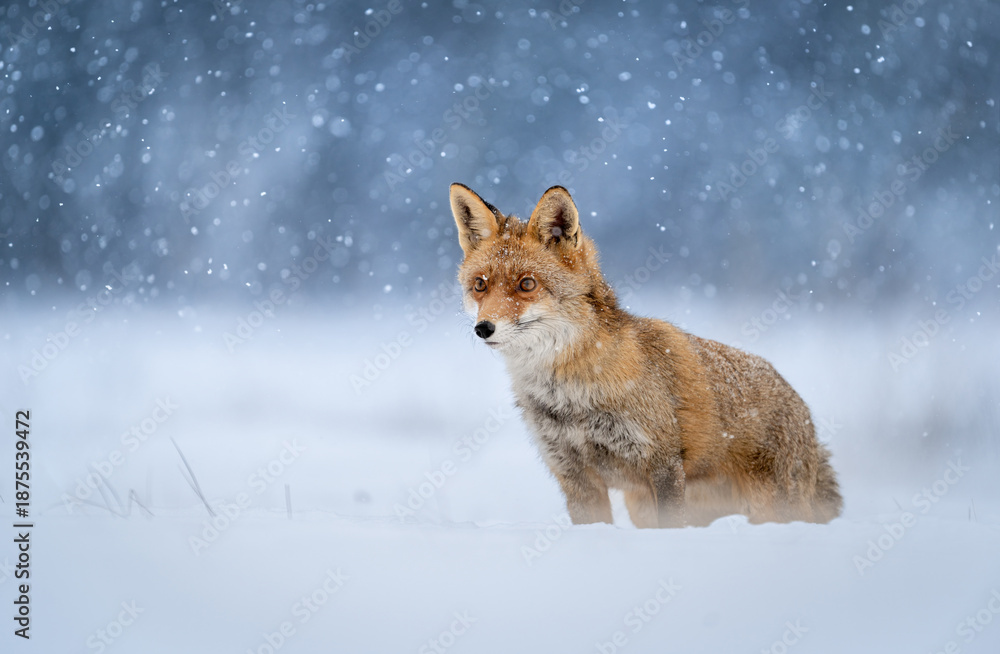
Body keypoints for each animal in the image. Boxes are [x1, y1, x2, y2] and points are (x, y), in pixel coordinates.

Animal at [449, 183, 843, 528]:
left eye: (527, 284)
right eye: (480, 285)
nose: (483, 328)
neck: (571, 393)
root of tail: (802, 410)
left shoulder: (662, 464)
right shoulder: (573, 473)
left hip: (771, 507)